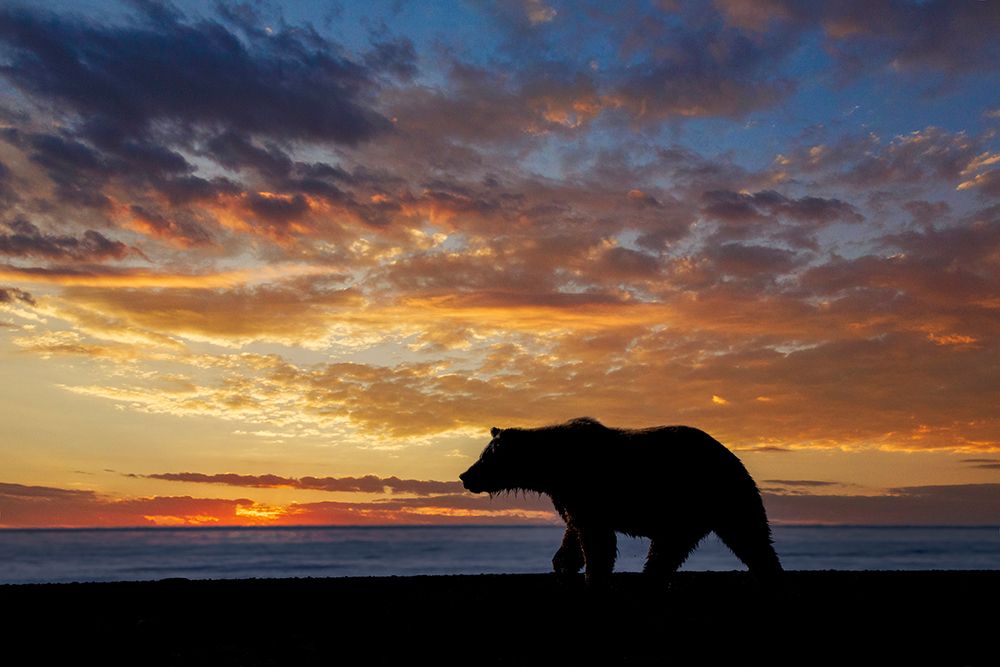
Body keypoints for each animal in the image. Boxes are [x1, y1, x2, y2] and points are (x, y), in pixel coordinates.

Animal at [459, 417, 782, 587]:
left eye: (485, 457)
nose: (465, 476)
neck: (552, 469)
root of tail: (731, 456)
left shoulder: (588, 490)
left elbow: (596, 538)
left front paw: (594, 574)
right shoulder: (570, 496)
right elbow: (574, 532)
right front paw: (564, 565)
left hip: (704, 496)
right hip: (715, 503)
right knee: (745, 538)